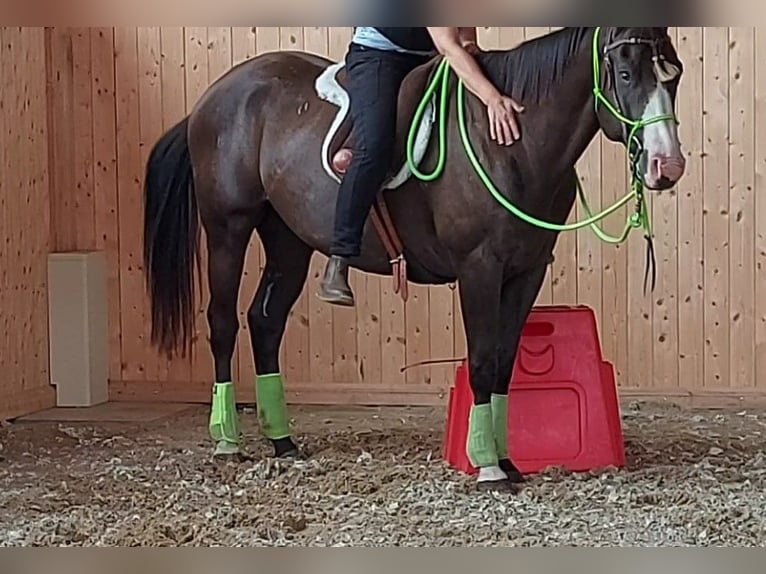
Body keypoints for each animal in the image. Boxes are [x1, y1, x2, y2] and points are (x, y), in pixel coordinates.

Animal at [142, 27, 685, 491]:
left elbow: (505, 362)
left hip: (288, 238)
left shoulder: (526, 271)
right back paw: (226, 440)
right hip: (228, 228)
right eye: (624, 74)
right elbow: (483, 361)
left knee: (266, 321)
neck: (511, 142)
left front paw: (506, 459)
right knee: (222, 323)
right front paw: (488, 466)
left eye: (673, 74)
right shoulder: (479, 267)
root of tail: (214, 97)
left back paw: (282, 441)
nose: (668, 165)